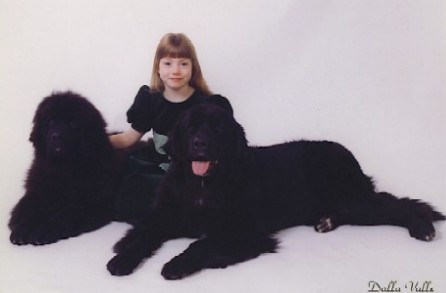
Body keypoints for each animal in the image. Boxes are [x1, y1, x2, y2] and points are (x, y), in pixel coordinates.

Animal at [106, 102, 444, 278]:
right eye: (191, 128)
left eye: (217, 129)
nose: (200, 144)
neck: (204, 185)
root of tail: (349, 154)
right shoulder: (165, 214)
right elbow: (143, 235)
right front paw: (122, 260)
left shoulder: (244, 231)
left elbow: (202, 245)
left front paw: (174, 265)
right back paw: (326, 222)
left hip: (354, 198)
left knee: (399, 205)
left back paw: (422, 227)